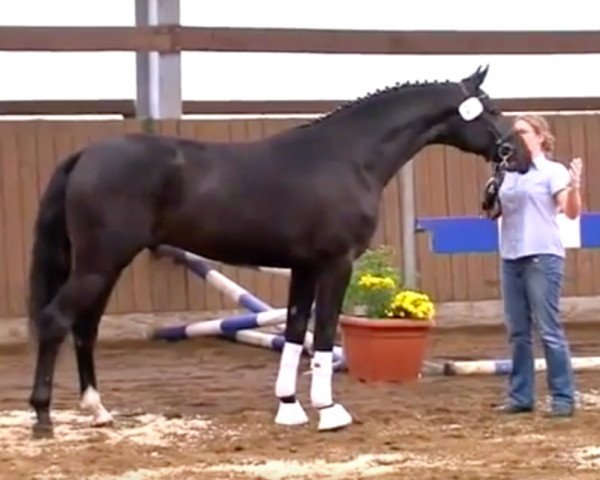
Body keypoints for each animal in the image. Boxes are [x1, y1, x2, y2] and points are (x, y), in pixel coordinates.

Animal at [27, 65, 528, 436]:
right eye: (491, 109)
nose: (519, 154)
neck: (349, 157)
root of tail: (86, 155)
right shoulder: (335, 265)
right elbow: (322, 334)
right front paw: (329, 411)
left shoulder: (303, 268)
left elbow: (292, 332)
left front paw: (289, 406)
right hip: (100, 263)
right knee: (55, 321)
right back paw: (43, 417)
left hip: (105, 265)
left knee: (84, 329)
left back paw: (97, 410)